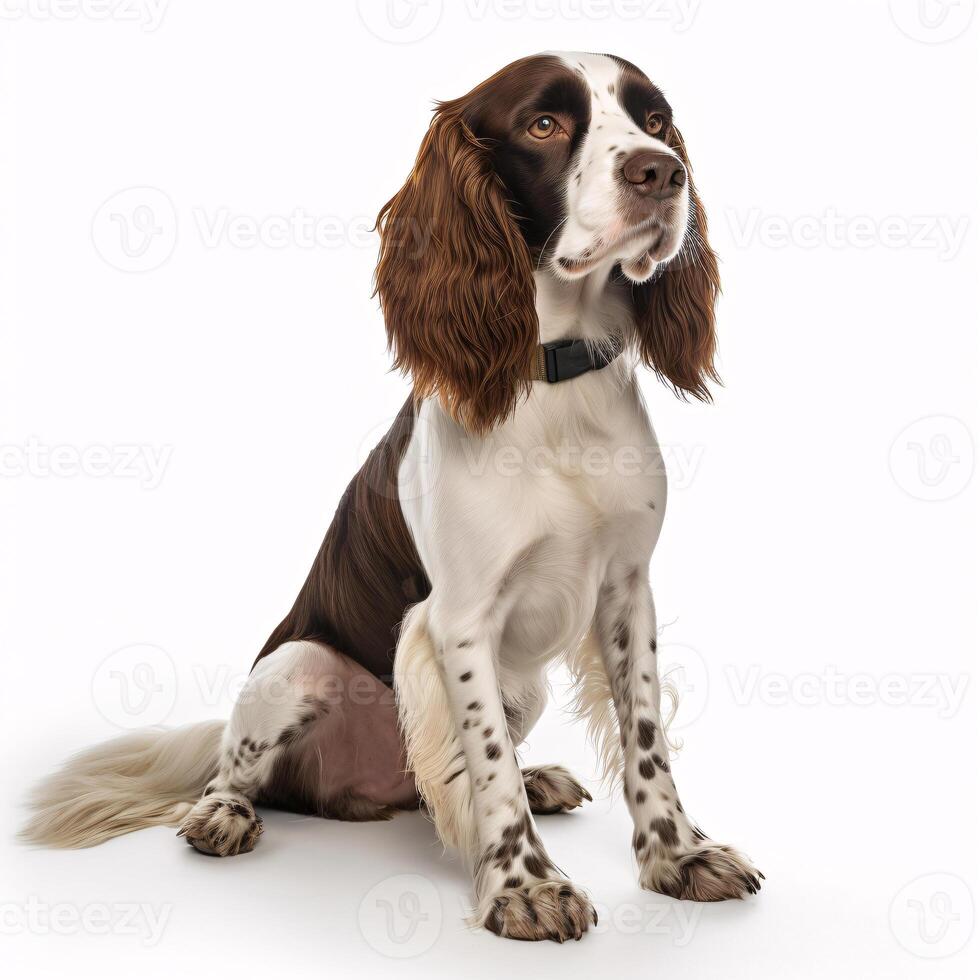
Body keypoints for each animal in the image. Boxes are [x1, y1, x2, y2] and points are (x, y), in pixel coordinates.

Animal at [21, 51, 756, 940]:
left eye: (655, 120)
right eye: (544, 124)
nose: (661, 172)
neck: (553, 381)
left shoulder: (625, 591)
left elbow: (645, 739)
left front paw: (679, 857)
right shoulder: (459, 618)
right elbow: (487, 766)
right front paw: (524, 886)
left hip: (524, 686)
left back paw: (537, 777)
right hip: (297, 665)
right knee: (236, 774)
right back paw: (223, 815)